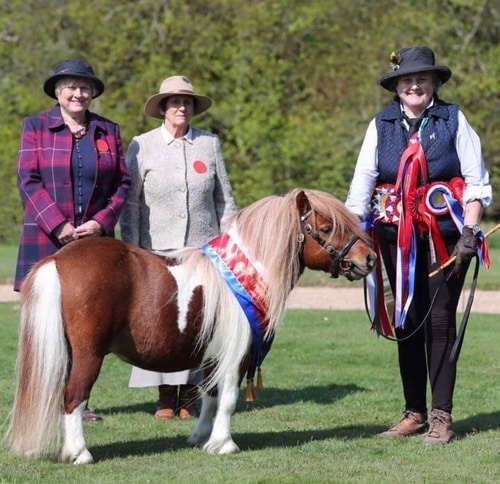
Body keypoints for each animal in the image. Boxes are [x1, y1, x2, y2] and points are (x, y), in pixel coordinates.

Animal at [6, 187, 376, 464]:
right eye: (326, 229)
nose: (369, 259)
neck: (243, 274)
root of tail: (59, 259)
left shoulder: (214, 356)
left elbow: (210, 397)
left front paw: (200, 439)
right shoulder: (237, 355)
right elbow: (228, 398)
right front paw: (224, 444)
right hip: (88, 355)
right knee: (73, 397)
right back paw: (79, 454)